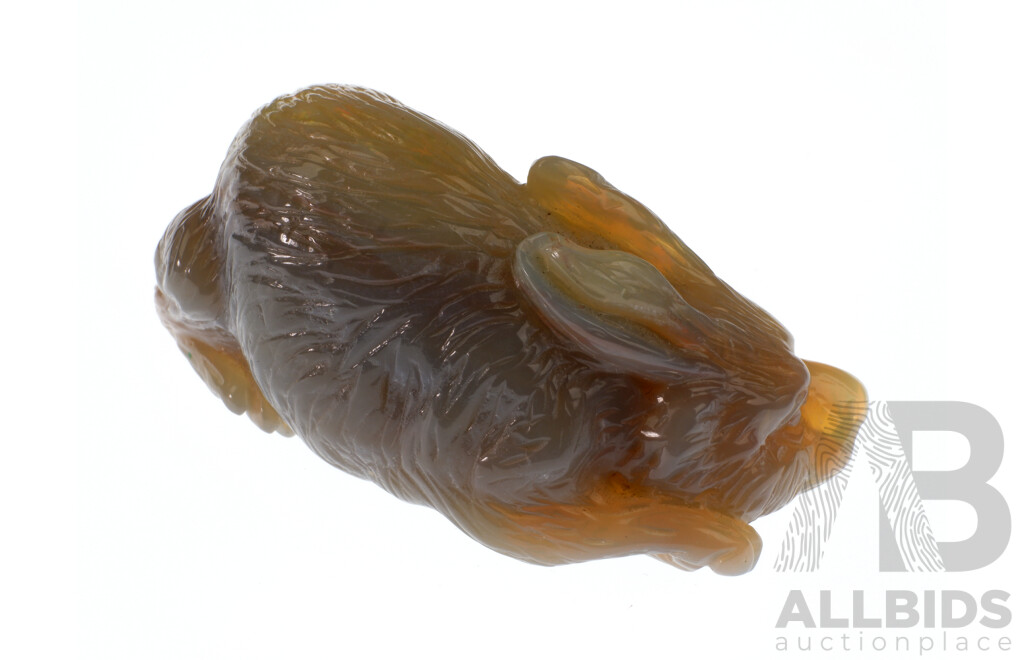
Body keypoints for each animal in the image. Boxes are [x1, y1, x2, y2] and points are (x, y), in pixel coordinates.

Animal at [155, 84, 866, 574]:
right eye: (771, 428)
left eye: (791, 348)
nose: (851, 417)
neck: (606, 397)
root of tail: (234, 153)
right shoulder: (502, 508)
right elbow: (629, 528)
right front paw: (721, 548)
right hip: (198, 277)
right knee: (165, 291)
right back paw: (247, 396)